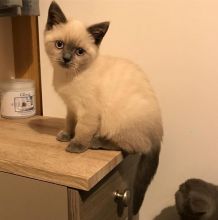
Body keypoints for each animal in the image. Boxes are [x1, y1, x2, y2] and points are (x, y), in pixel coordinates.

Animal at [44, 0, 164, 214]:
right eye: (59, 45)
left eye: (79, 52)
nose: (66, 58)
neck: (67, 78)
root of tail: (158, 133)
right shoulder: (71, 107)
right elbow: (70, 123)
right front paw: (65, 135)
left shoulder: (88, 111)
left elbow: (82, 129)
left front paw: (76, 145)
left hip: (117, 120)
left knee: (133, 147)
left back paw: (96, 141)